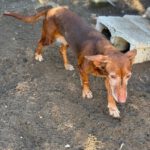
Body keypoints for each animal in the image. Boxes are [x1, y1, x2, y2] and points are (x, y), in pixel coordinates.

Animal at [3, 6, 137, 118]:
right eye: (113, 76)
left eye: (129, 76)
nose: (122, 100)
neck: (102, 49)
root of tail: (51, 9)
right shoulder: (86, 69)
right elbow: (86, 80)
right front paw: (86, 91)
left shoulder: (106, 78)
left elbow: (110, 94)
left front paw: (113, 108)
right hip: (49, 38)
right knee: (40, 42)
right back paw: (38, 55)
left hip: (67, 40)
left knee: (61, 49)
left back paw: (66, 65)